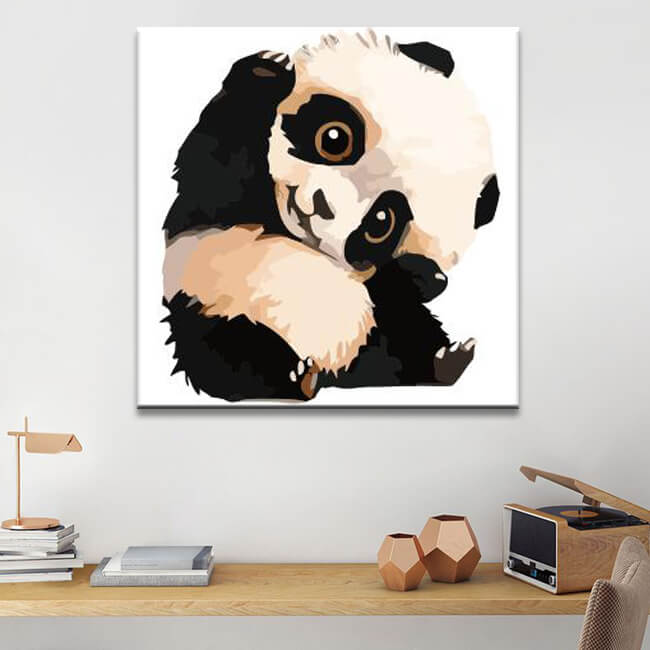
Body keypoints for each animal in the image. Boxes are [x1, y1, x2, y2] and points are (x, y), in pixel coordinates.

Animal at [162, 30, 500, 402]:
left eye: (381, 222)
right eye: (334, 138)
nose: (321, 204)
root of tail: (326, 366)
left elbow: (407, 287)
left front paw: (423, 277)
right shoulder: (211, 210)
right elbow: (211, 169)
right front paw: (266, 70)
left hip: (368, 332)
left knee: (397, 340)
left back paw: (444, 359)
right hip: (210, 303)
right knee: (226, 352)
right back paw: (290, 377)